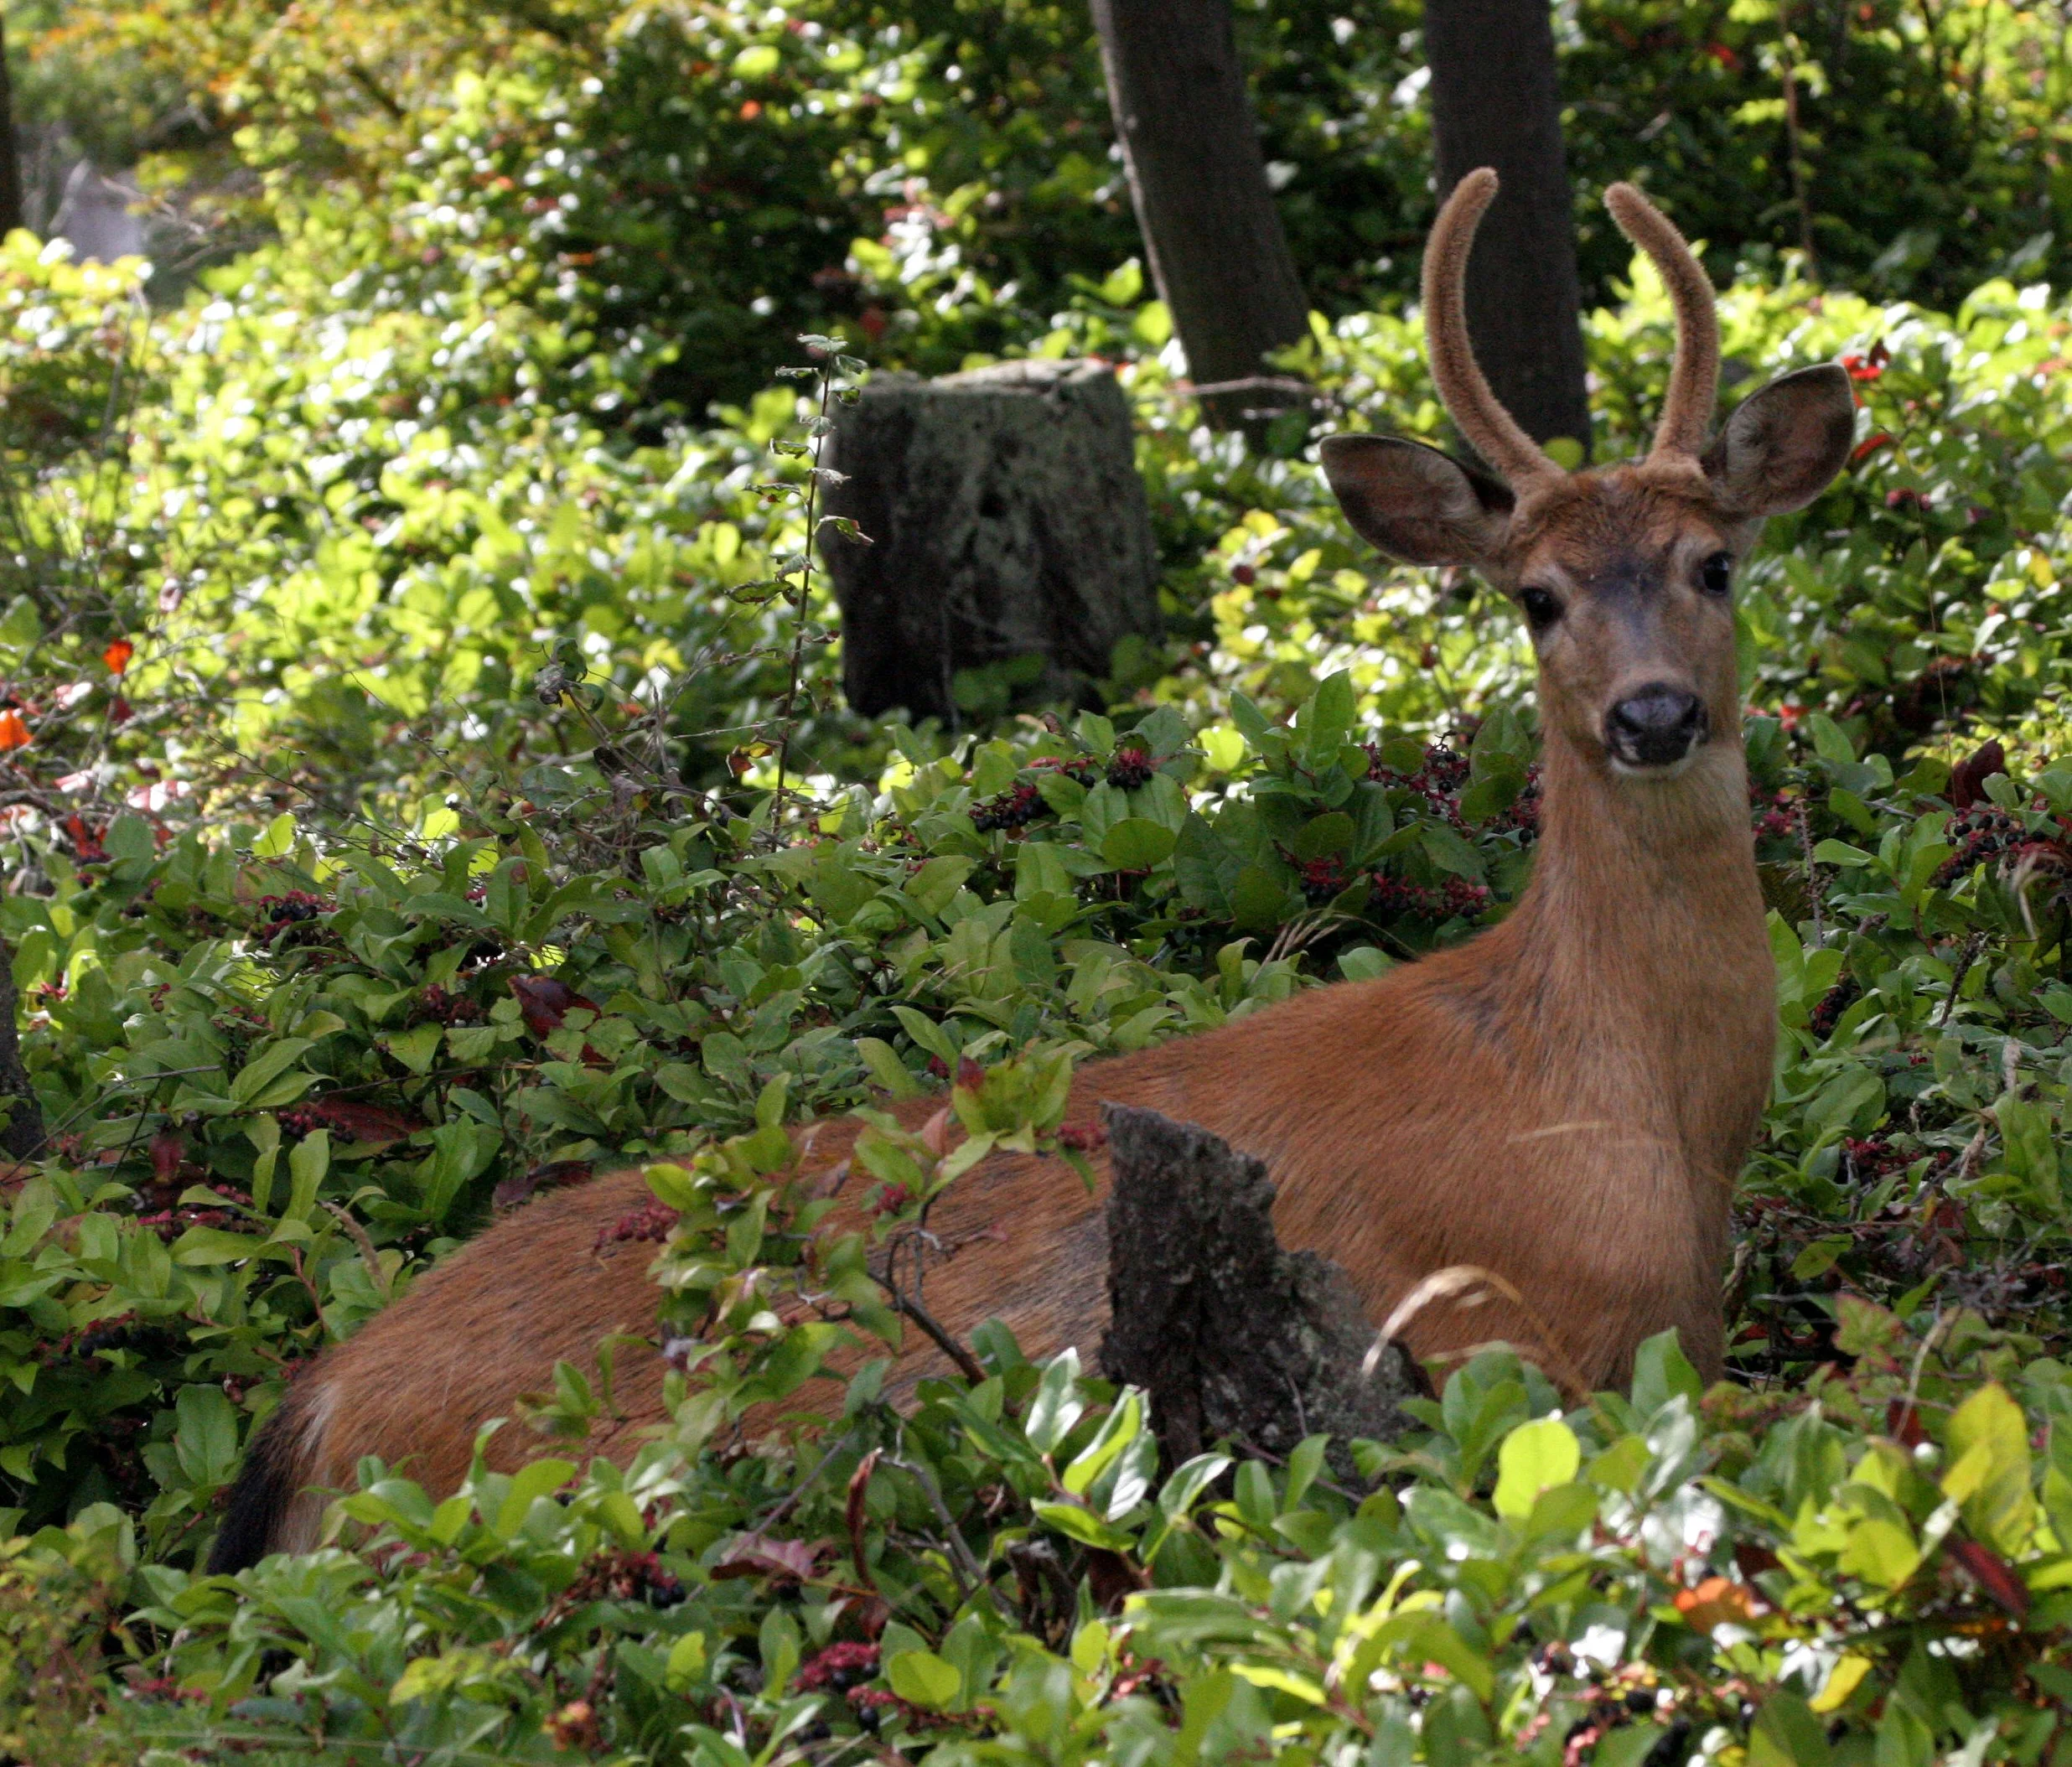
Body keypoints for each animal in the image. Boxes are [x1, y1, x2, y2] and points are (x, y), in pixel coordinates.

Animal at [208, 169, 1856, 1571]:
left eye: (1716, 563)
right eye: (1536, 597)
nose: (1654, 714)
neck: (1626, 1101)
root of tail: (305, 1408)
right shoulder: (1492, 1336)